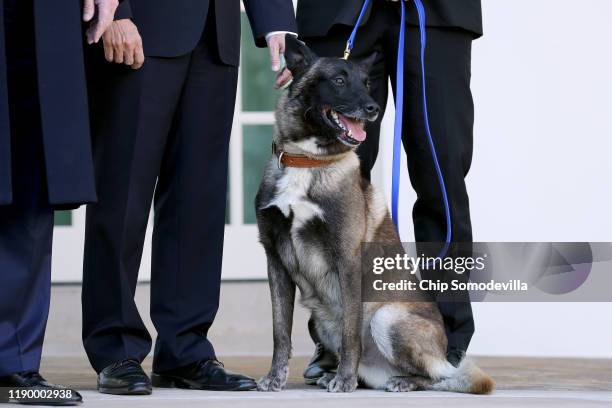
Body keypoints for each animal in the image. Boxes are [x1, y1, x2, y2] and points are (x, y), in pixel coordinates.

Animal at [253, 35, 492, 396]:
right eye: (339, 80)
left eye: (366, 83)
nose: (373, 109)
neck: (308, 160)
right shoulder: (275, 262)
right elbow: (280, 331)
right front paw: (274, 377)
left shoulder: (348, 260)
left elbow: (351, 332)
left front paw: (345, 381)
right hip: (323, 321)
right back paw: (336, 373)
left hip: (387, 318)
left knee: (435, 377)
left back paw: (397, 381)